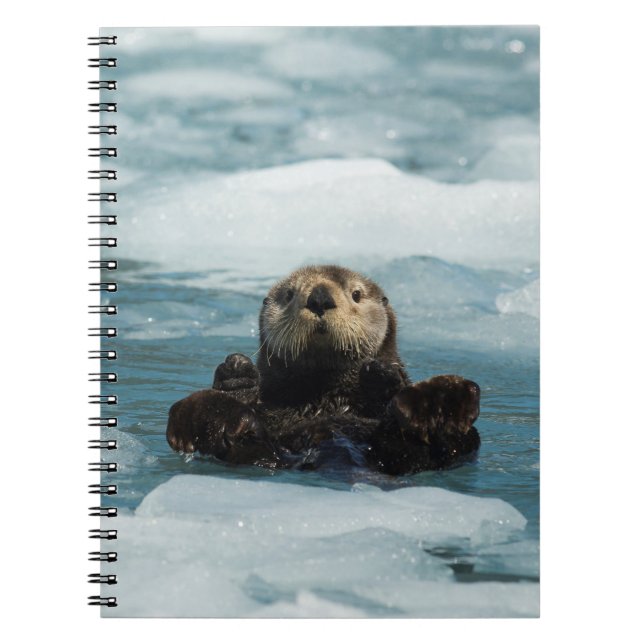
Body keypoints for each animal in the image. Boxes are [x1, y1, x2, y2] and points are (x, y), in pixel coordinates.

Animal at [166, 265, 481, 475]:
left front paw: (380, 373)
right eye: (289, 294)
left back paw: (436, 405)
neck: (325, 398)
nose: (319, 298)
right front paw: (237, 374)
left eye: (356, 294)